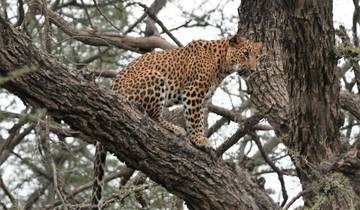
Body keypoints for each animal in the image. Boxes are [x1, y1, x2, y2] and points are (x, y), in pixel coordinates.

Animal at [91, 34, 262, 208]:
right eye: (246, 54)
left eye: (256, 57)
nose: (253, 70)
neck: (222, 64)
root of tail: (113, 88)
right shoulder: (194, 91)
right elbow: (194, 119)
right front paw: (199, 139)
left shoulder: (203, 98)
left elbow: (199, 119)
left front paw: (200, 137)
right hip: (155, 77)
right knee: (151, 115)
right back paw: (175, 128)